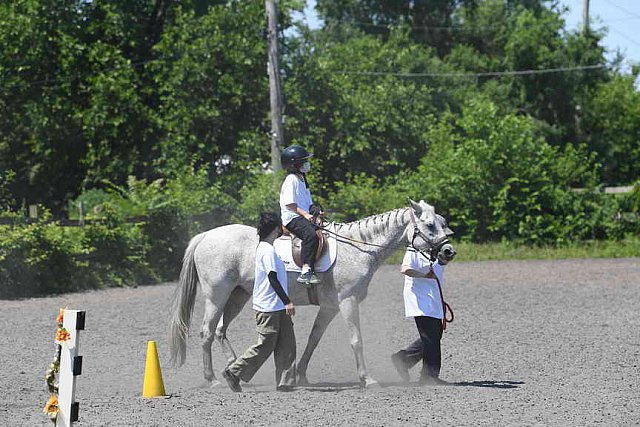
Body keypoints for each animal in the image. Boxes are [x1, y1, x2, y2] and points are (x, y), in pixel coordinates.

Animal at [168, 199, 452, 390]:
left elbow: (314, 339)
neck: (356, 249)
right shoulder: (347, 302)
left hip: (237, 296)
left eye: (443, 224)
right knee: (206, 333)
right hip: (217, 296)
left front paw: (299, 375)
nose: (449, 252)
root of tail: (206, 236)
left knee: (220, 330)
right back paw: (213, 379)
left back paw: (231, 365)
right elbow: (356, 340)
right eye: (429, 225)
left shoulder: (330, 307)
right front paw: (367, 379)